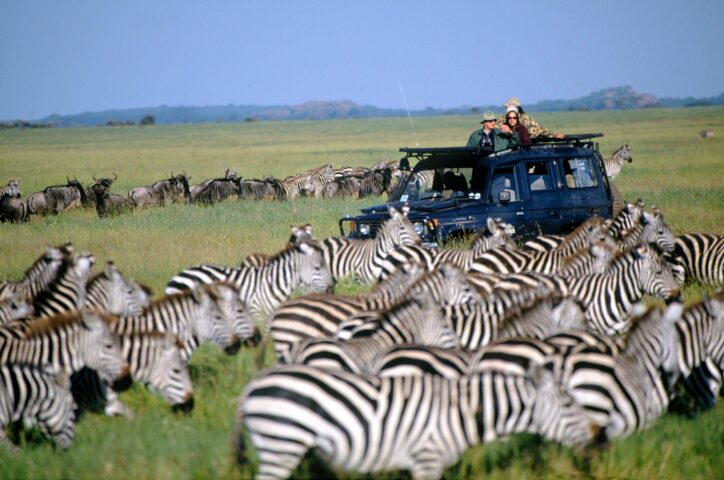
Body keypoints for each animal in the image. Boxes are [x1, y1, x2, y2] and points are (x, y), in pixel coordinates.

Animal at [233, 366, 600, 478]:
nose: (599, 437)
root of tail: (252, 384)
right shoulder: (427, 457)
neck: (463, 411)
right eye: (568, 402)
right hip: (281, 445)